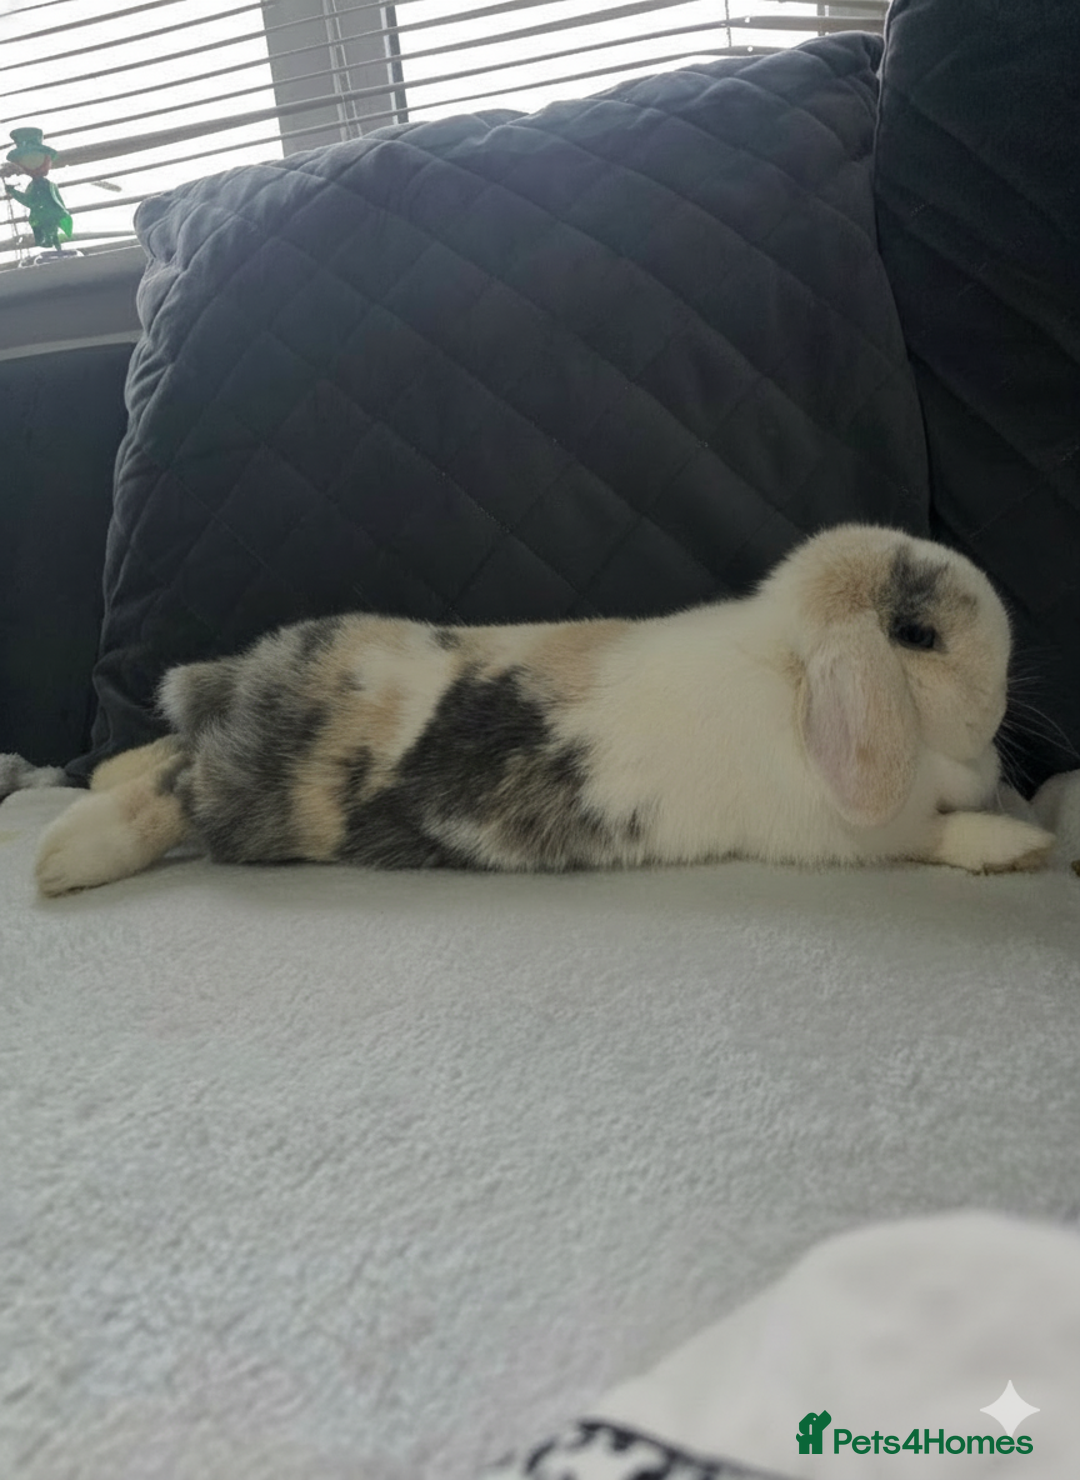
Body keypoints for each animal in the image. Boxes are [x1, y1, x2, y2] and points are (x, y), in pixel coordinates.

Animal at [33, 523, 1054, 897]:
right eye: (918, 635)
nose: (1007, 689)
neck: (790, 672)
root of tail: (233, 685)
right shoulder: (858, 838)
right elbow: (939, 838)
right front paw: (1022, 845)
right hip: (260, 802)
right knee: (174, 787)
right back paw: (64, 859)